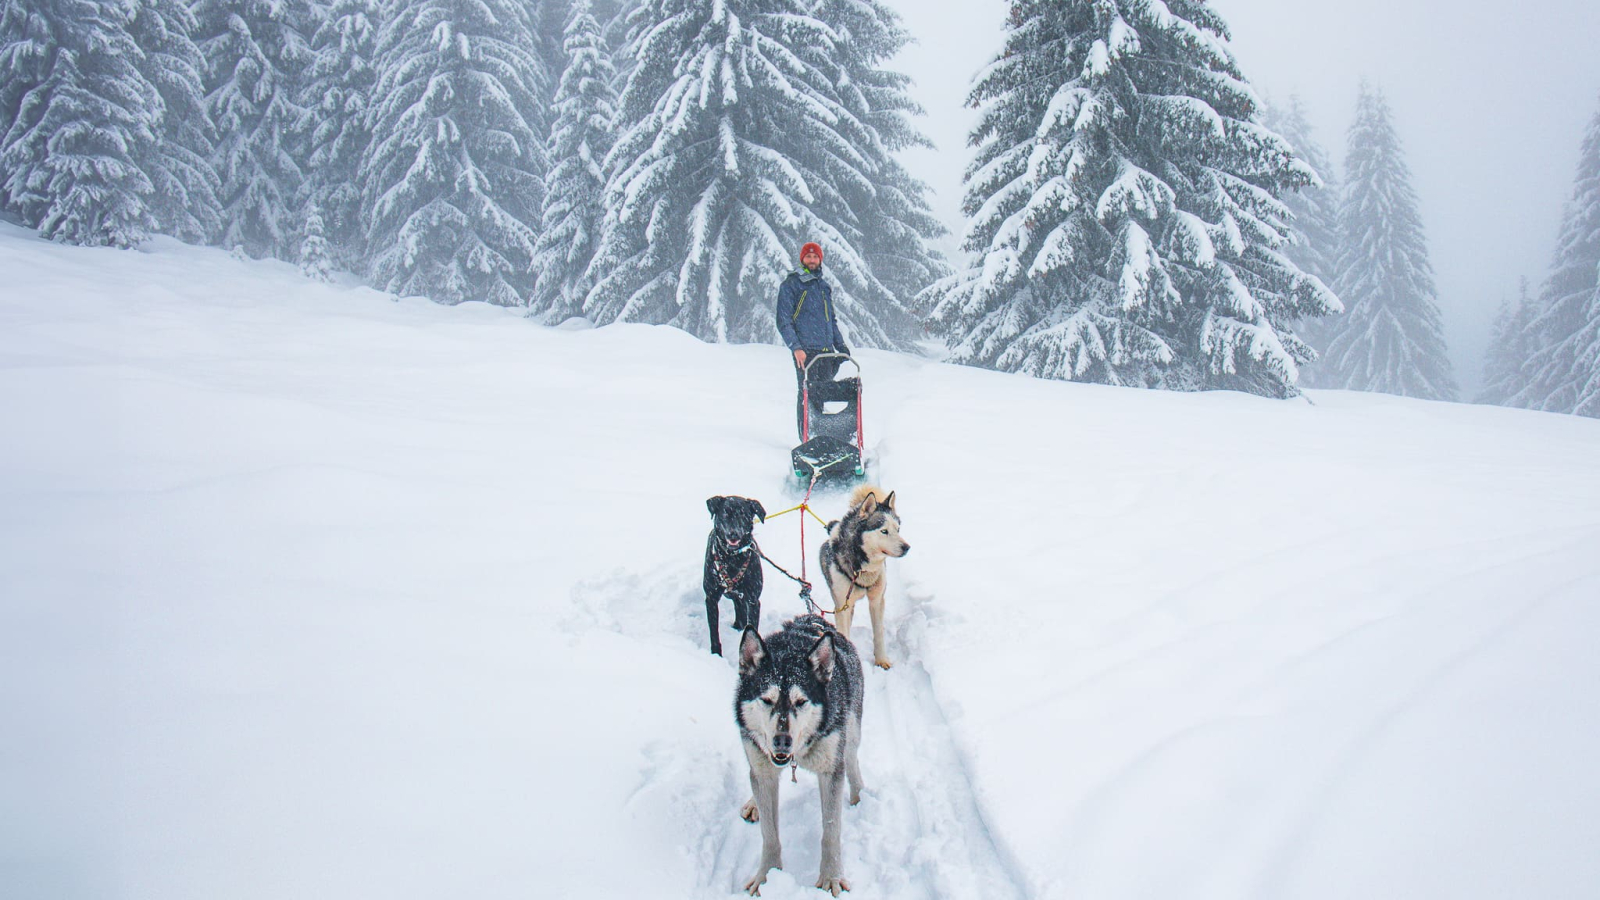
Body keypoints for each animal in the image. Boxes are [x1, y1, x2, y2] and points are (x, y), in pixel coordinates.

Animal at [707, 496, 768, 650]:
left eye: (744, 515)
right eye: (725, 514)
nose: (733, 534)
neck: (732, 558)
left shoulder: (753, 600)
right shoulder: (711, 598)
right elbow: (714, 631)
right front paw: (716, 652)